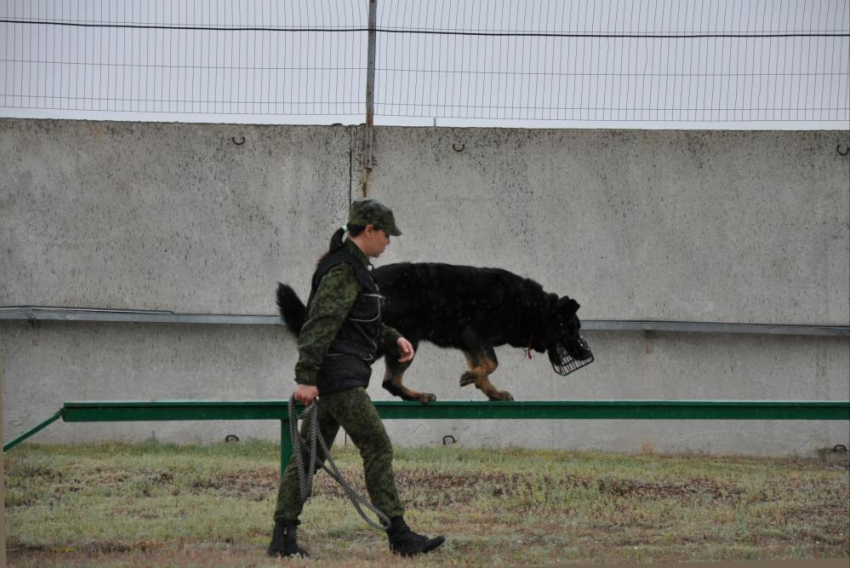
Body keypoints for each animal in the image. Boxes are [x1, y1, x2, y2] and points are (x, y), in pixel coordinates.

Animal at [278, 262, 588, 404]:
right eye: (573, 328)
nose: (585, 353)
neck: (534, 308)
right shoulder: (474, 334)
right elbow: (491, 363)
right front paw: (471, 378)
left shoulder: (470, 343)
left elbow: (484, 366)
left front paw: (489, 389)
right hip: (391, 341)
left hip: (404, 344)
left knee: (390, 382)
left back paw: (416, 395)